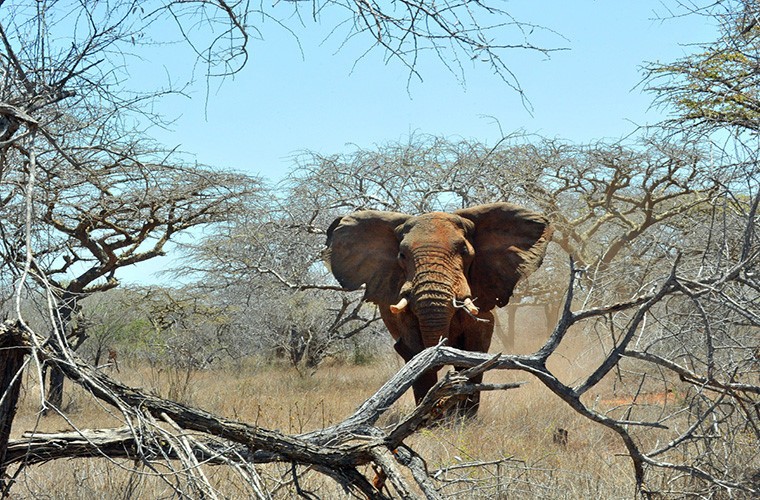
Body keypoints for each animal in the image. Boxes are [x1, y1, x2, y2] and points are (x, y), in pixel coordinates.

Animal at [326, 201, 552, 416]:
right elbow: (416, 354)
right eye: (402, 255)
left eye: (464, 251)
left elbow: (474, 348)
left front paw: (464, 419)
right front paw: (431, 418)